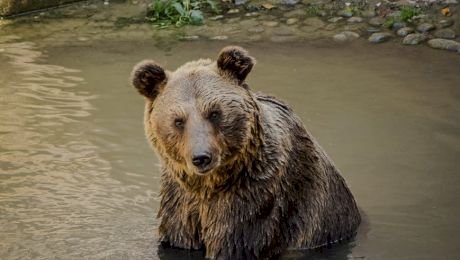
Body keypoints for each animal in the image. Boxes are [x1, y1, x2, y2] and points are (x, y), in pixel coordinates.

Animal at [129, 45, 360, 258]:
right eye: (178, 120)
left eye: (214, 112)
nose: (201, 157)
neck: (208, 185)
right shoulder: (179, 200)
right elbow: (177, 239)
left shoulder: (256, 198)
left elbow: (234, 243)